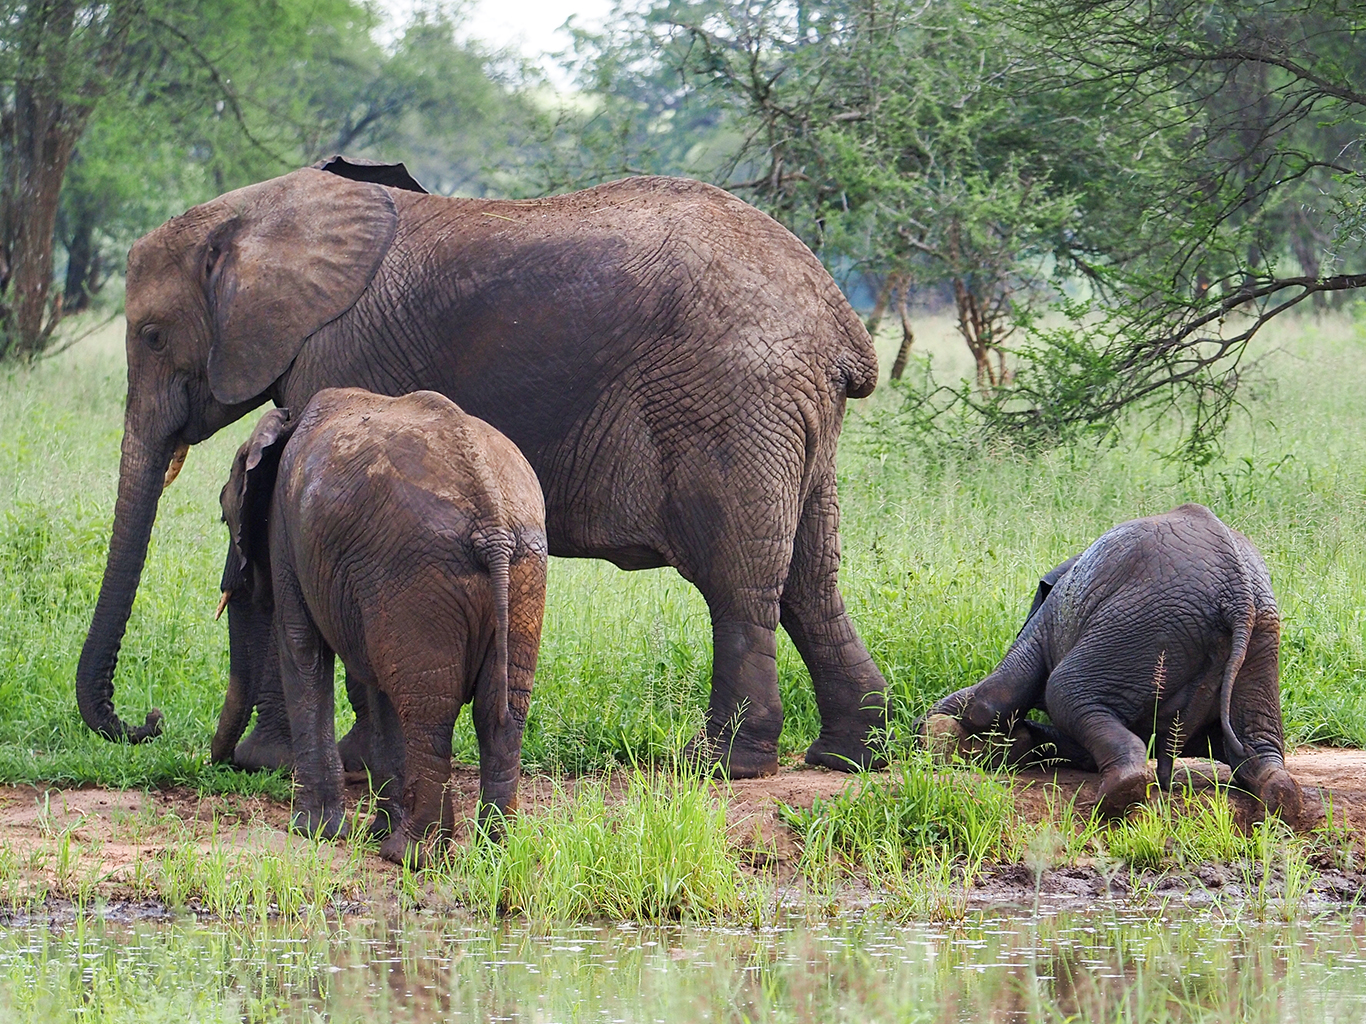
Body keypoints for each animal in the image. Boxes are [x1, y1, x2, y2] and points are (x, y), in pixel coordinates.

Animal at [74, 158, 885, 775]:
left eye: (151, 336)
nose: (145, 723)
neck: (263, 210)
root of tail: (839, 320)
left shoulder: (338, 356)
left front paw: (281, 764)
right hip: (788, 418)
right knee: (810, 582)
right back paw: (848, 756)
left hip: (730, 404)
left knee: (738, 583)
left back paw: (718, 765)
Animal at [221, 387, 546, 868]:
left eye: (225, 518)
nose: (228, 761)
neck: (287, 421)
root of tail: (490, 518)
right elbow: (377, 684)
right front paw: (371, 830)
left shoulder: (289, 534)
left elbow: (302, 648)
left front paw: (313, 832)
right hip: (520, 569)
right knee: (497, 712)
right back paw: (494, 852)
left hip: (420, 572)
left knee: (429, 712)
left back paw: (408, 855)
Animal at [928, 502, 1311, 830]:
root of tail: (1237, 594)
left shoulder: (1045, 622)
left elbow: (990, 703)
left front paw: (934, 727)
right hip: (1262, 636)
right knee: (1255, 742)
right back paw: (1280, 797)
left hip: (1147, 621)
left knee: (1064, 690)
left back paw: (1118, 796)